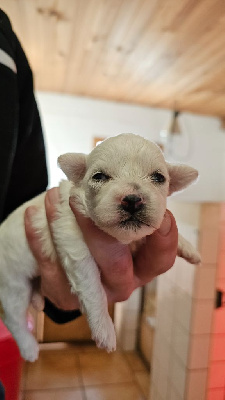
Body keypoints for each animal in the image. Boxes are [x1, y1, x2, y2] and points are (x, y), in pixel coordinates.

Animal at [0, 133, 200, 360]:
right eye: (99, 176)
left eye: (159, 177)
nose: (133, 200)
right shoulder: (74, 245)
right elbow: (93, 288)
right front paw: (104, 329)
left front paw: (188, 247)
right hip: (13, 282)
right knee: (13, 317)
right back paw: (29, 348)